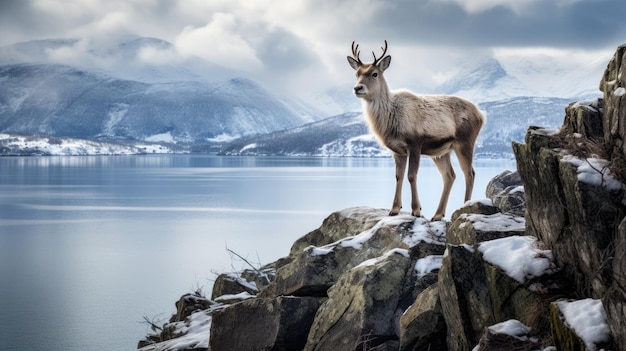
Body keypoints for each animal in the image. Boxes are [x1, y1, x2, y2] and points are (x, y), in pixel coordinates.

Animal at [346, 40, 482, 220]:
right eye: (357, 74)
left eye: (374, 73)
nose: (358, 88)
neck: (390, 118)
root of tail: (482, 115)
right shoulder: (397, 150)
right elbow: (399, 176)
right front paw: (394, 209)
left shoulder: (415, 143)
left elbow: (411, 175)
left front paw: (416, 210)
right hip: (441, 151)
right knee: (450, 175)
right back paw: (438, 214)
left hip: (465, 141)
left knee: (469, 173)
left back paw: (464, 206)